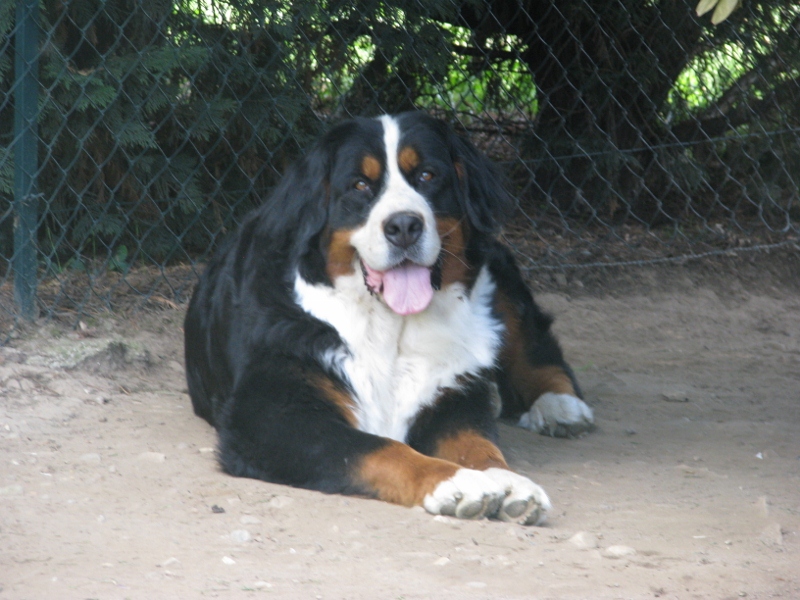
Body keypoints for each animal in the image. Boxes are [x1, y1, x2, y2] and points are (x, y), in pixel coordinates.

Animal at [184, 112, 592, 524]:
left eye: (427, 175)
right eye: (360, 185)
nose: (404, 226)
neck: (391, 327)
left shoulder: (450, 398)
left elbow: (478, 444)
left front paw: (509, 482)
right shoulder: (272, 412)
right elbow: (382, 449)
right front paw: (457, 481)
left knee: (533, 342)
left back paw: (561, 405)